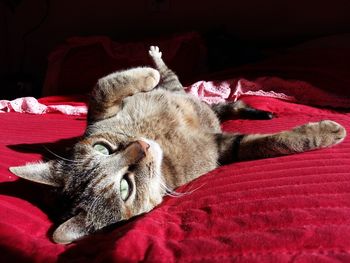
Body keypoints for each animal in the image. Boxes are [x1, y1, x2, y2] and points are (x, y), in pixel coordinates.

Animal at [9, 46, 346, 245]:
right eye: (125, 188)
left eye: (103, 149)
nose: (141, 146)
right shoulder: (222, 147)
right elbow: (270, 143)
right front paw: (329, 131)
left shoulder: (100, 112)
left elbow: (105, 85)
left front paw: (147, 75)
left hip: (186, 94)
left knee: (190, 87)